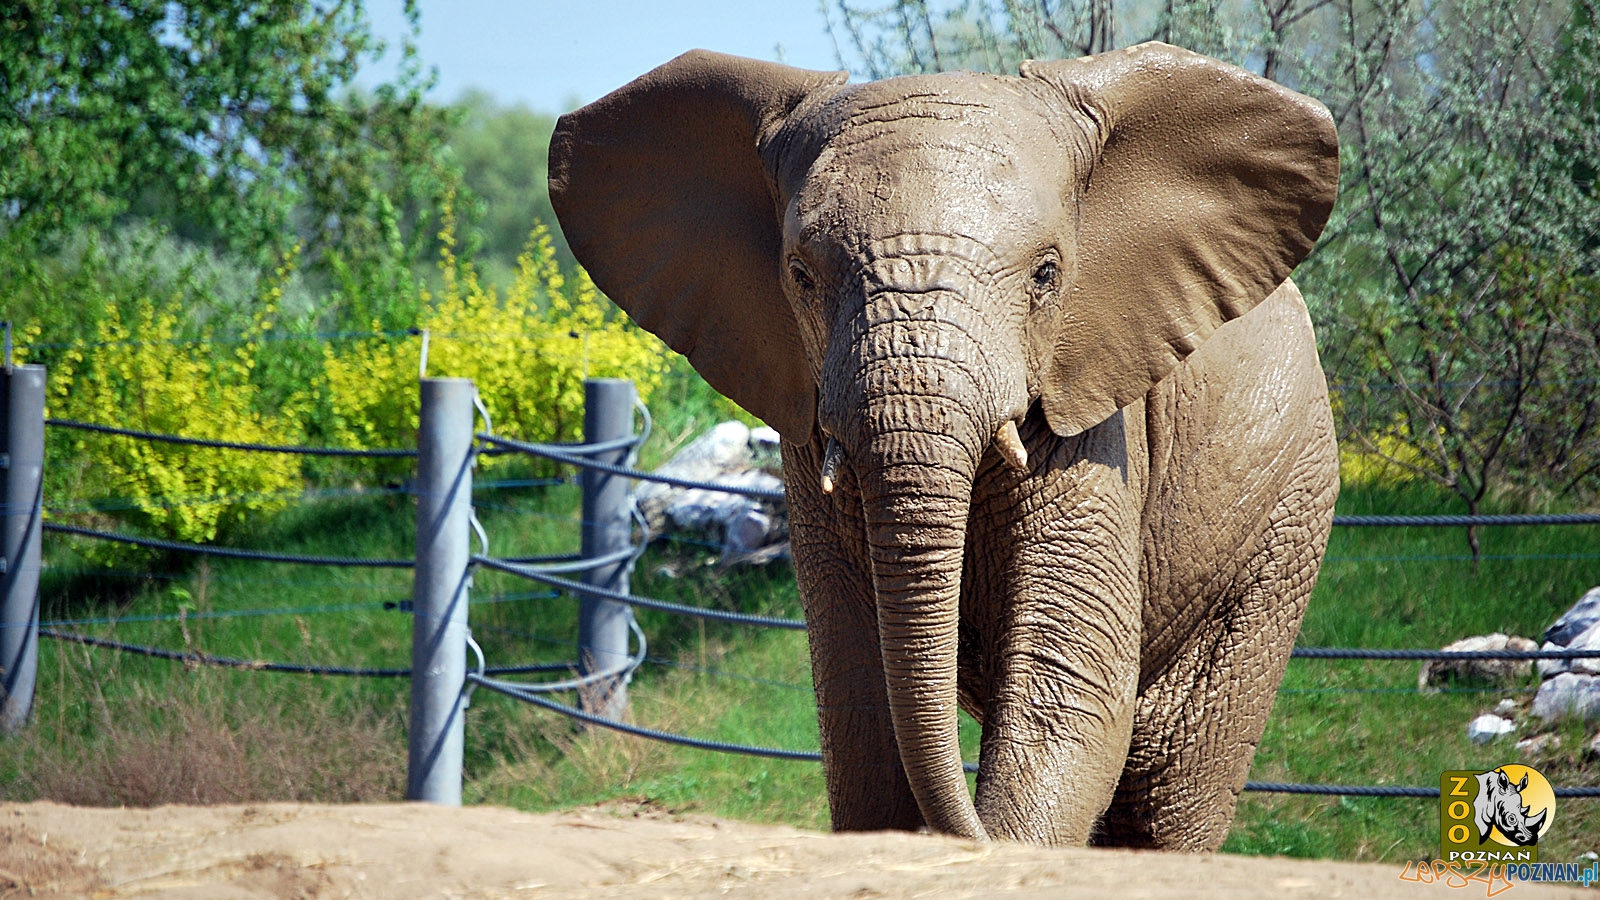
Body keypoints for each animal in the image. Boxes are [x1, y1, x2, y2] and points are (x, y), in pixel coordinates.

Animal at [547, 36, 1337, 845]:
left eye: (1047, 275)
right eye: (800, 275)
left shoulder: (1094, 416)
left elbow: (1069, 681)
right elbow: (857, 691)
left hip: (1284, 517)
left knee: (1169, 786)